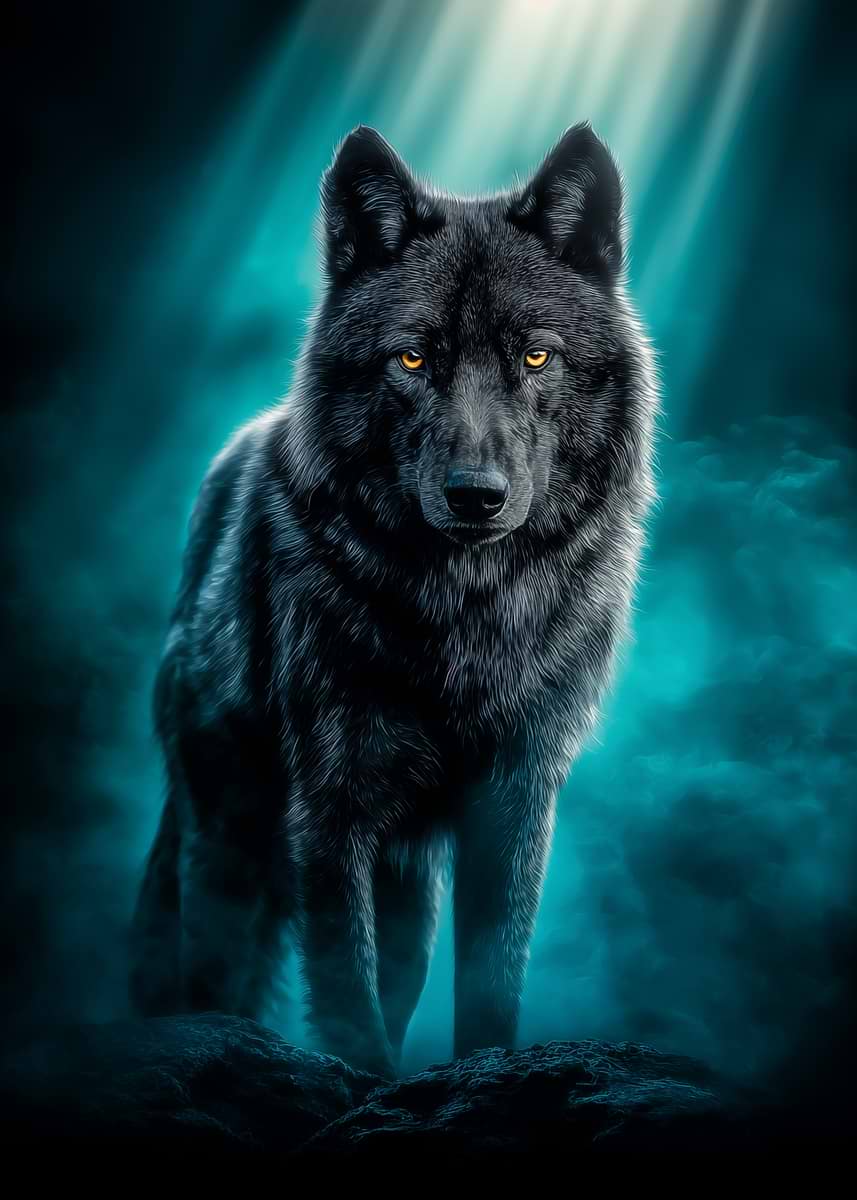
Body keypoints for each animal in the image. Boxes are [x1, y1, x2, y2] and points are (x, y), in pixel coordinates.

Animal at [130, 123, 658, 1078]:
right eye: (412, 358)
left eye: (535, 355)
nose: (475, 495)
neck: (464, 620)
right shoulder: (329, 806)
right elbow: (343, 981)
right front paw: (363, 1081)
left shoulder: (515, 796)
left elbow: (490, 977)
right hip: (226, 834)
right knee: (209, 960)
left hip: (409, 877)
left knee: (403, 968)